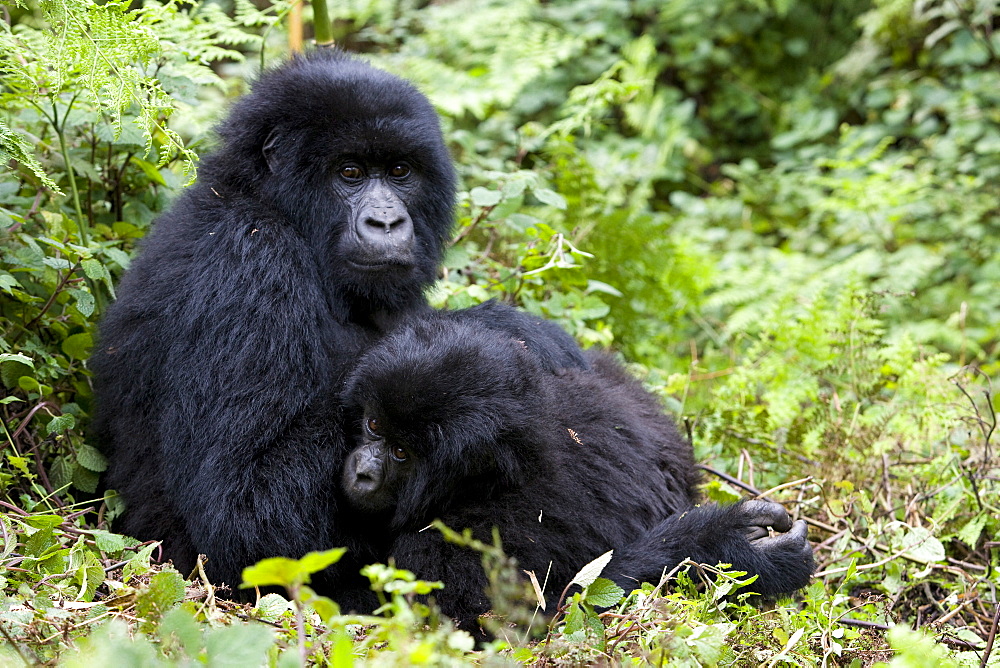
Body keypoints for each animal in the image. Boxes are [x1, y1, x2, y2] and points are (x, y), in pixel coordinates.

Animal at [93, 49, 584, 588]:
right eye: (350, 173)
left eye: (399, 170)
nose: (386, 222)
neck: (267, 201)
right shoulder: (248, 260)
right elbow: (248, 511)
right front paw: (501, 335)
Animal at [340, 318, 808, 632]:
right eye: (374, 425)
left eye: (401, 453)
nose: (362, 472)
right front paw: (725, 543)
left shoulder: (443, 547)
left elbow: (528, 624)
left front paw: (719, 545)